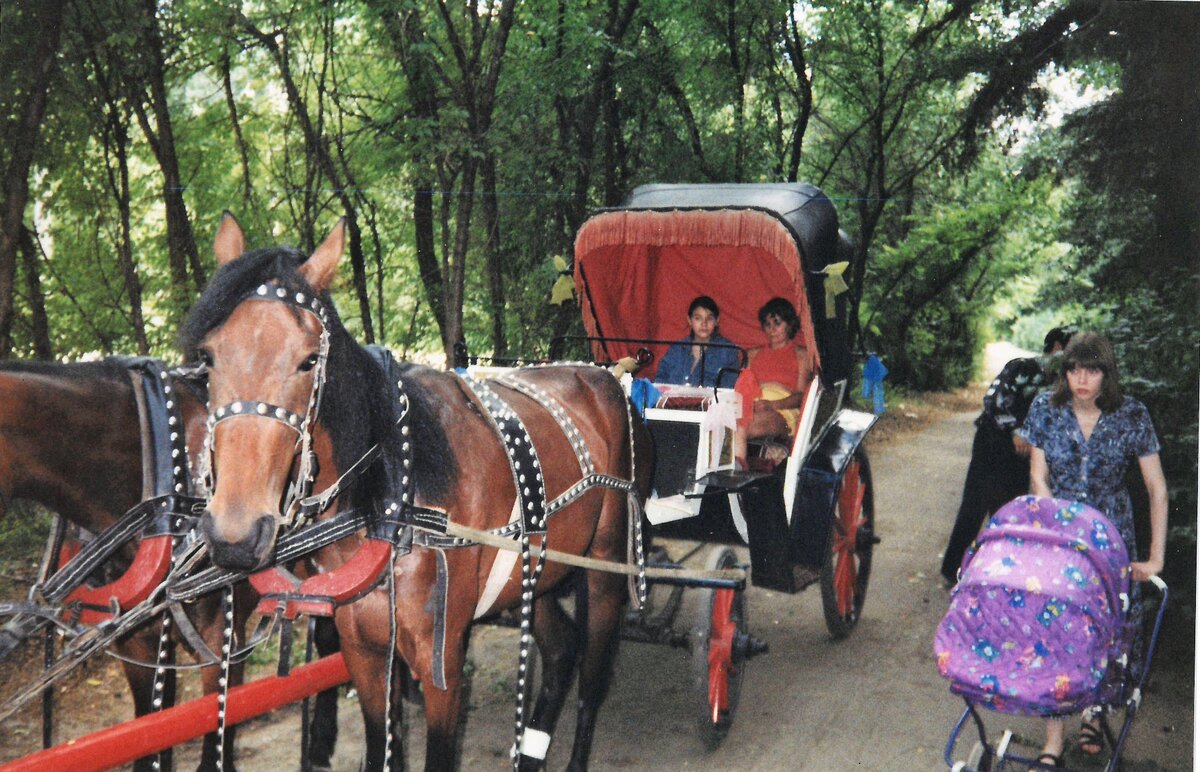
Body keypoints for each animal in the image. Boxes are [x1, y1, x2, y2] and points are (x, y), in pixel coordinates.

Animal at [184, 214, 657, 768]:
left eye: (307, 361)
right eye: (208, 357)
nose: (235, 534)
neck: (392, 505)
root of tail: (606, 377)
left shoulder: (442, 659)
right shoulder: (364, 653)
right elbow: (379, 743)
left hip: (605, 565)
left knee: (592, 675)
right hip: (532, 571)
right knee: (562, 650)